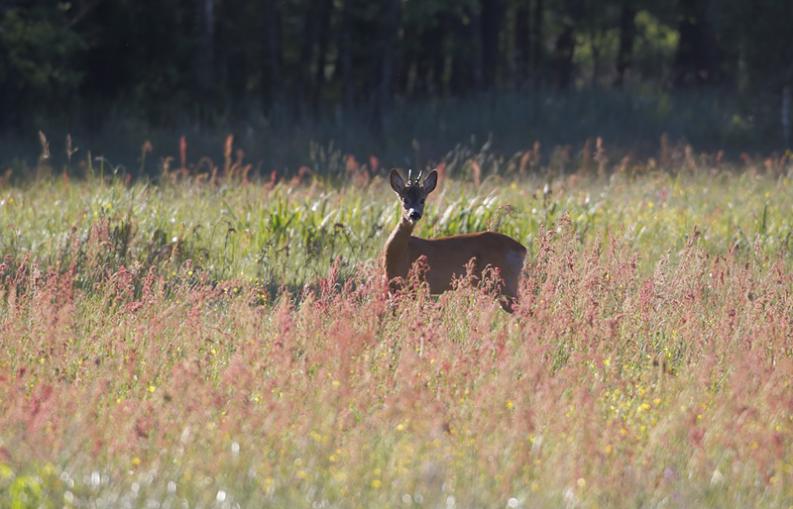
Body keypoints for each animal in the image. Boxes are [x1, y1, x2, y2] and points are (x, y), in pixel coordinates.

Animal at [384, 168, 524, 310]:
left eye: (422, 200)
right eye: (404, 199)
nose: (414, 214)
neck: (400, 253)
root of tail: (522, 249)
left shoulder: (418, 286)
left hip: (502, 281)